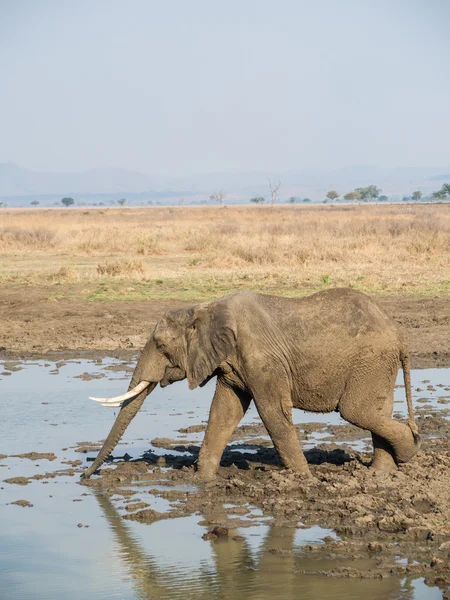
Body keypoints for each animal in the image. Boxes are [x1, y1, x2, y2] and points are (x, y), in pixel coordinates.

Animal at [83, 288, 422, 480]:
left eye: (160, 345)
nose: (86, 478)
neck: (205, 308)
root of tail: (399, 331)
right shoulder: (231, 363)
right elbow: (224, 412)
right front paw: (201, 481)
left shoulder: (262, 361)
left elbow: (272, 414)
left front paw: (305, 480)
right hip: (377, 363)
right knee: (375, 412)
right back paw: (381, 473)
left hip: (372, 360)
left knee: (356, 411)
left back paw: (408, 451)